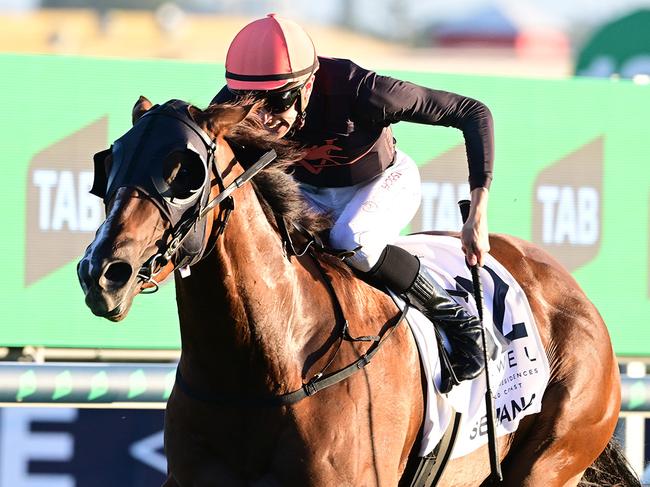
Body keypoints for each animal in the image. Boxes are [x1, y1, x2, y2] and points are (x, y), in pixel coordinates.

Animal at [78, 96, 636, 487]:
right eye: (112, 163)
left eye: (183, 172)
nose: (103, 272)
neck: (270, 364)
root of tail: (573, 293)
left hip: (553, 455)